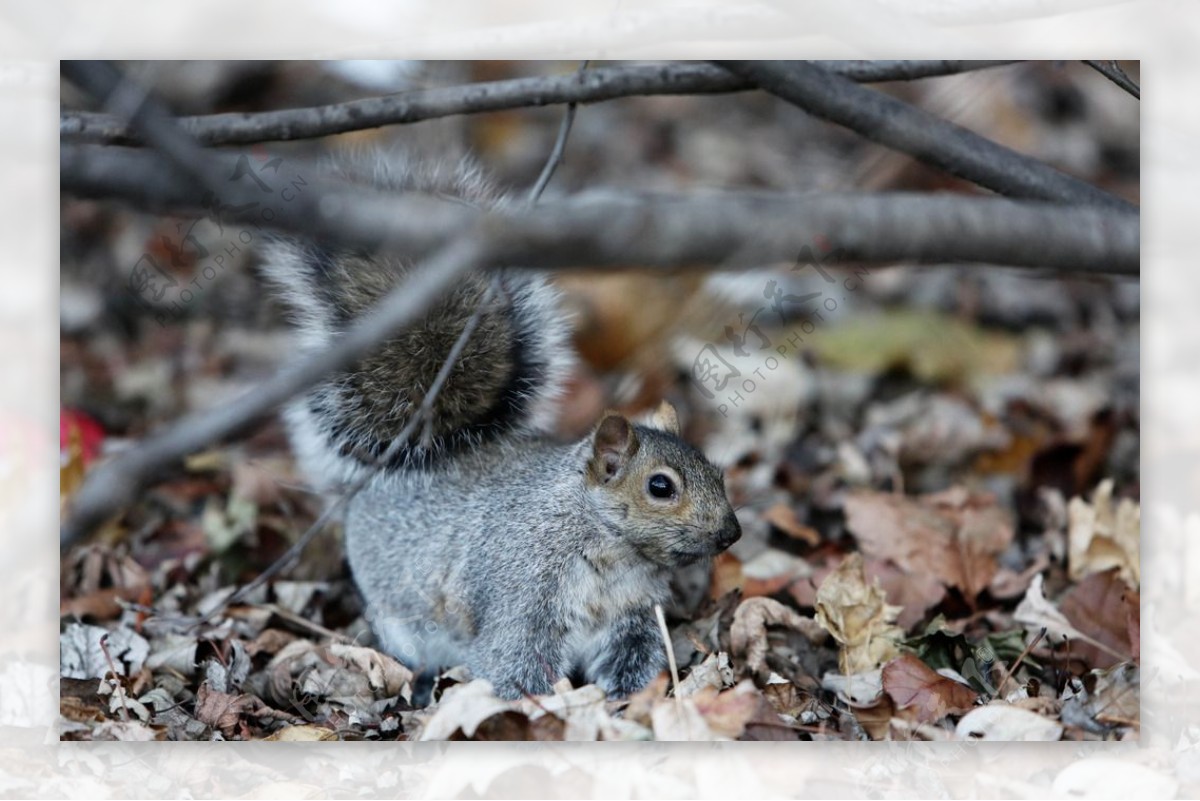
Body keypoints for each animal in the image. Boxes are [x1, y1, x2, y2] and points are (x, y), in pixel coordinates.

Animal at [260, 151, 739, 700]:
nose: (732, 533)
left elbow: (633, 662)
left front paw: (630, 701)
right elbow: (513, 666)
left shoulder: (632, 618)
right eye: (661, 487)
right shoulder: (523, 600)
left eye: (718, 474)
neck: (610, 550)